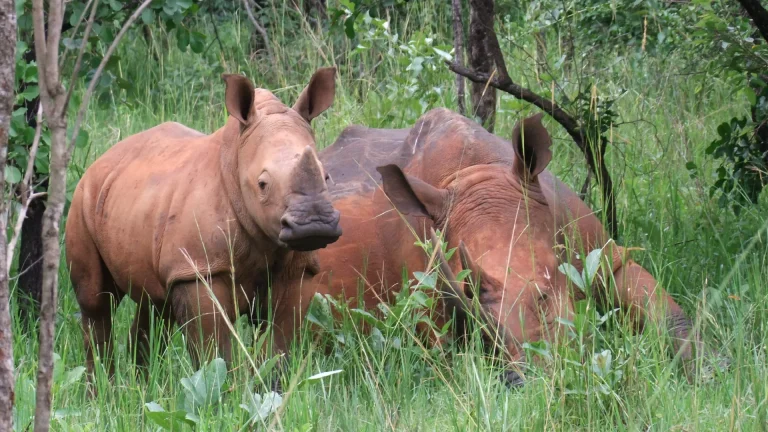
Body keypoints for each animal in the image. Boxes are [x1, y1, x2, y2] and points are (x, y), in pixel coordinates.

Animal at [65, 68, 342, 374]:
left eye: (327, 176)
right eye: (262, 184)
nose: (314, 225)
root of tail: (104, 158)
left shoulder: (298, 269)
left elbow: (279, 345)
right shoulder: (198, 268)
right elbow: (213, 351)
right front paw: (220, 385)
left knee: (154, 304)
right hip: (83, 197)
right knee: (96, 302)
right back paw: (103, 381)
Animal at [269, 108, 707, 384]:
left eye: (548, 290)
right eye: (472, 303)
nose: (522, 381)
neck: (479, 171)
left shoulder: (603, 254)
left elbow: (669, 315)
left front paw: (706, 373)